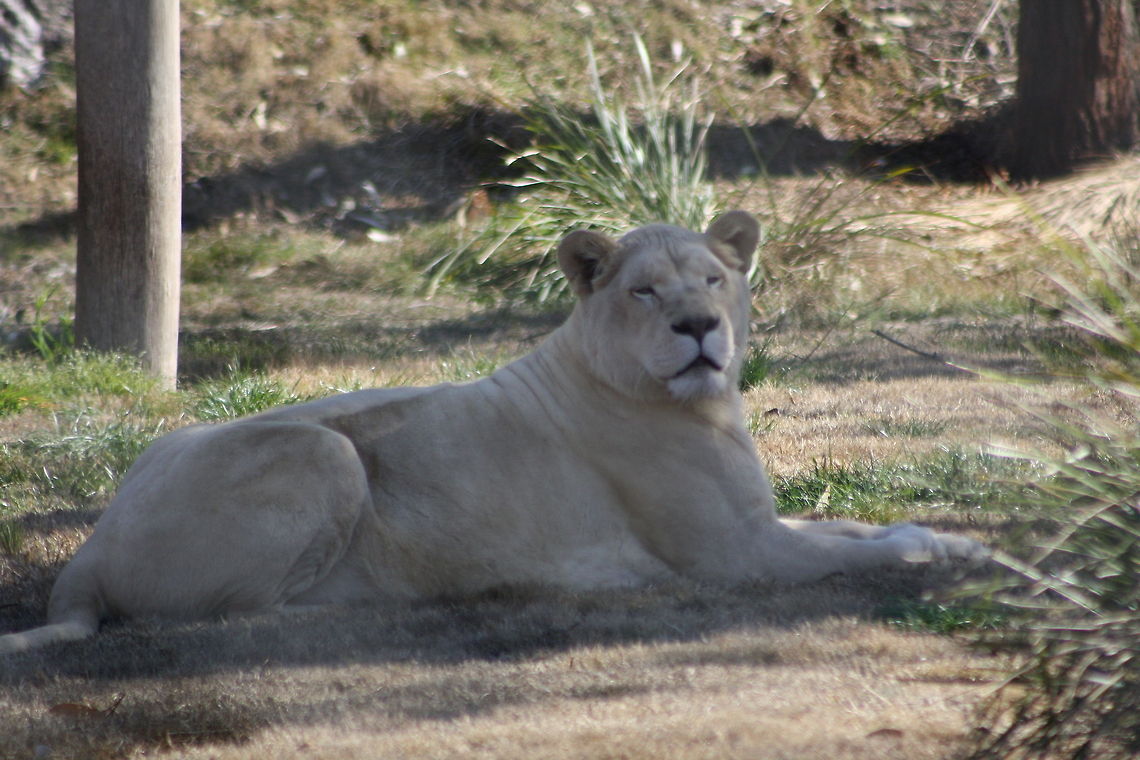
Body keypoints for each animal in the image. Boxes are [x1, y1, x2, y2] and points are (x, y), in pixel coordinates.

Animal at [0, 211, 983, 654]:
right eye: (644, 291)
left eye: (713, 278)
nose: (699, 326)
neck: (702, 403)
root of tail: (89, 550)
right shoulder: (737, 555)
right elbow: (864, 549)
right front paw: (938, 553)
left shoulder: (761, 523)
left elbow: (864, 525)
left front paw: (960, 539)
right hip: (325, 449)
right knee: (245, 609)